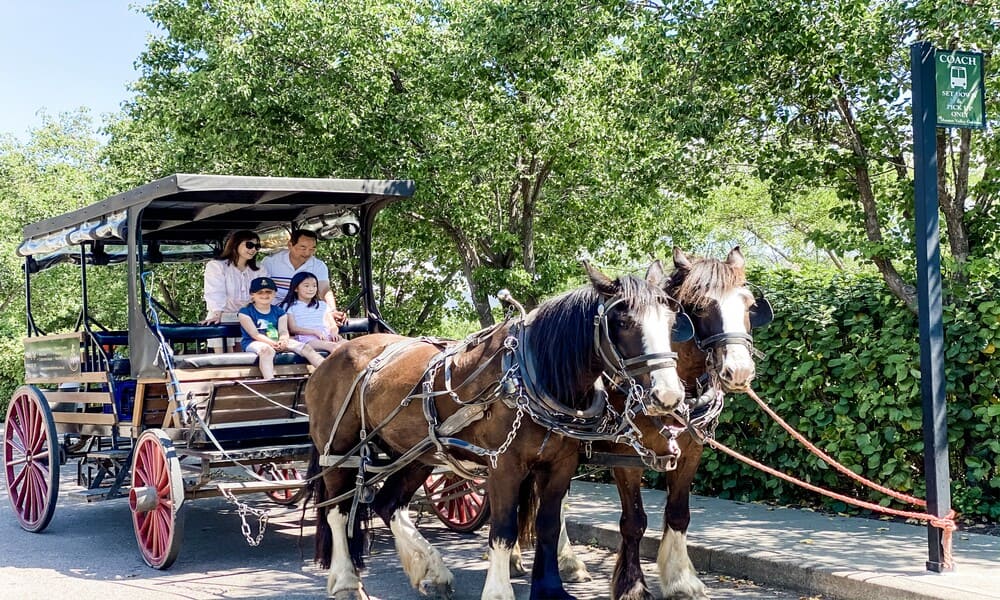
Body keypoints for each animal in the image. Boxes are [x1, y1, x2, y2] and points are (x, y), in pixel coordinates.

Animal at [306, 264, 688, 600]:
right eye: (622, 321)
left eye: (672, 322)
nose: (668, 396)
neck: (532, 375)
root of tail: (333, 355)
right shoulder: (504, 466)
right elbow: (503, 530)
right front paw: (500, 590)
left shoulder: (561, 465)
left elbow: (548, 526)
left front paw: (550, 588)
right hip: (337, 450)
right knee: (337, 511)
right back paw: (346, 581)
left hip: (416, 453)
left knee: (388, 504)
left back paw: (431, 570)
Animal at [556, 246, 772, 596]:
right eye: (700, 306)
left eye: (750, 304)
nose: (739, 371)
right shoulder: (626, 456)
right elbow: (633, 522)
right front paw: (631, 586)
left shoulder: (691, 451)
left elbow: (678, 513)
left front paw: (682, 580)